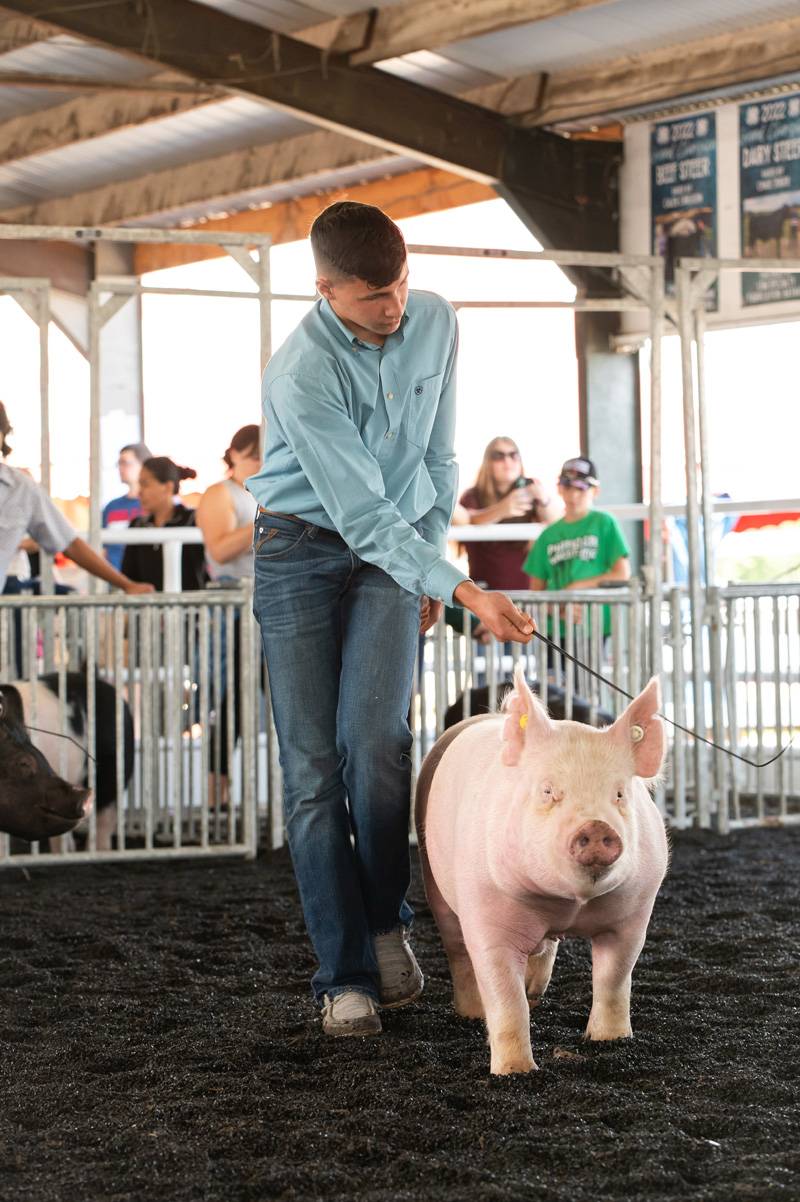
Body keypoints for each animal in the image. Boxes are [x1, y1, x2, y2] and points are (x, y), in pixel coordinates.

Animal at [413, 668, 667, 1081]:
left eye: (619, 795)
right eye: (548, 791)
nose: (597, 827)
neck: (568, 904)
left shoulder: (634, 913)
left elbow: (614, 977)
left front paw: (610, 1041)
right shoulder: (486, 915)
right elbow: (504, 996)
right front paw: (515, 1073)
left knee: (547, 948)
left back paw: (535, 990)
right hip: (434, 884)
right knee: (457, 951)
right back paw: (471, 1013)